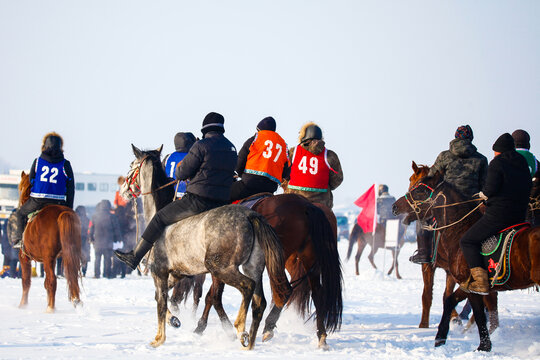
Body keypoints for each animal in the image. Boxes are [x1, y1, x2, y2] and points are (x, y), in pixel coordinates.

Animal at [11, 172, 81, 312]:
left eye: (20, 187)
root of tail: (62, 213)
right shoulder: (52, 260)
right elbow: (45, 283)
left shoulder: (24, 257)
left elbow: (26, 281)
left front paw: (23, 305)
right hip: (67, 255)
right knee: (71, 276)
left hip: (47, 257)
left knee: (52, 280)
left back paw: (50, 309)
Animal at [122, 146, 294, 348]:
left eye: (131, 165)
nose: (123, 190)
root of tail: (250, 215)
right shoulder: (177, 273)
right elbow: (160, 297)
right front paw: (173, 320)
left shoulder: (159, 271)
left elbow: (161, 302)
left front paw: (159, 339)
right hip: (253, 268)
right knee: (259, 302)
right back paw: (249, 342)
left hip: (221, 268)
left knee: (247, 287)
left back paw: (239, 327)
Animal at [180, 194, 342, 348]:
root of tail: (306, 206)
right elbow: (211, 296)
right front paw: (201, 327)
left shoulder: (219, 267)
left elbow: (214, 297)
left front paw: (220, 329)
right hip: (308, 258)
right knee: (317, 294)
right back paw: (321, 336)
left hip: (276, 260)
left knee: (285, 290)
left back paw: (268, 327)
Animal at [392, 172, 540, 352]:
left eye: (420, 190)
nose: (394, 206)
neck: (460, 230)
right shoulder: (468, 284)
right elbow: (452, 301)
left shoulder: (467, 282)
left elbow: (459, 305)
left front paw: (479, 344)